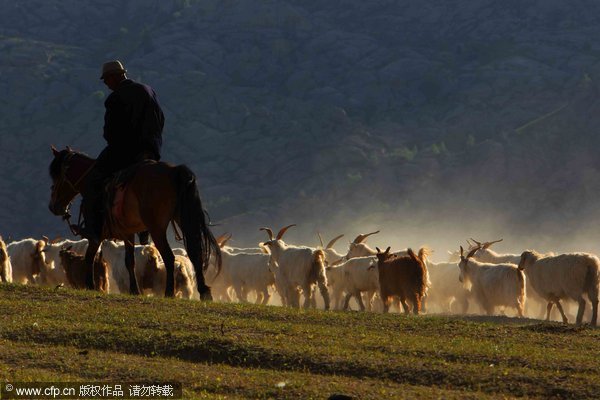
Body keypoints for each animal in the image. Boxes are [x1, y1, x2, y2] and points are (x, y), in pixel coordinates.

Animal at [47, 145, 220, 298]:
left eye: (56, 176)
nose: (53, 206)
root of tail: (174, 171)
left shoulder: (96, 234)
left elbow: (90, 256)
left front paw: (90, 285)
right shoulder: (128, 232)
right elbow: (130, 260)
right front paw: (134, 290)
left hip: (157, 228)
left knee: (169, 256)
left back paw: (169, 292)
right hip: (182, 219)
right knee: (195, 252)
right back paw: (204, 291)